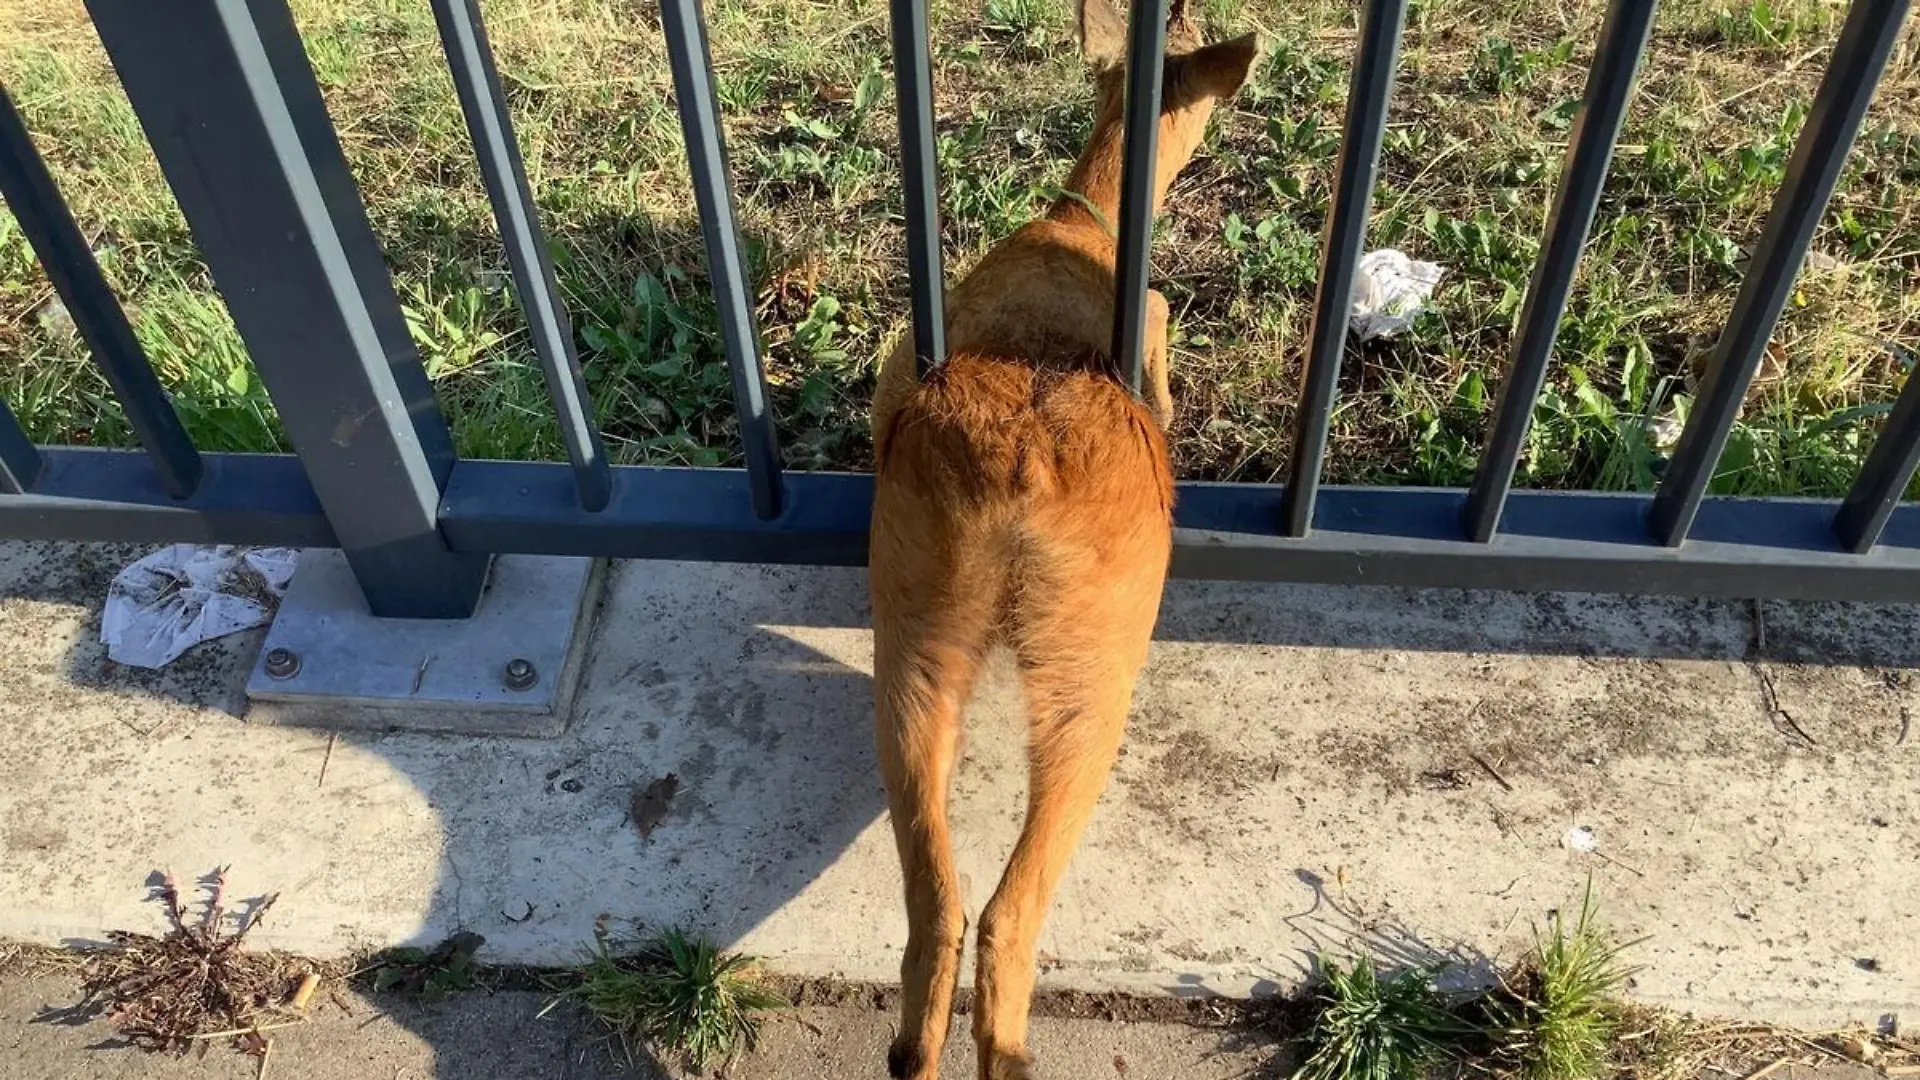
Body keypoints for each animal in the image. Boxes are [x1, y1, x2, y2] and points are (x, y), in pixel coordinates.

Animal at [866, 0, 1257, 1076]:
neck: (1086, 218)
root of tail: (1022, 468)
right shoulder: (1157, 328)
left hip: (914, 634)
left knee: (936, 912)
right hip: (1096, 666)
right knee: (1009, 914)